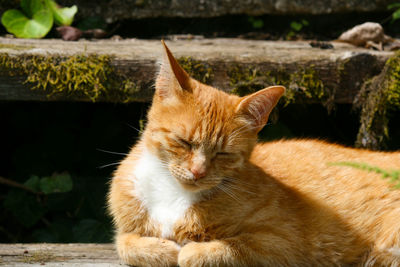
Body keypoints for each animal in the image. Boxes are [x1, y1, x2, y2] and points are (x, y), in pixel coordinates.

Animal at [108, 40, 400, 266]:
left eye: (223, 154)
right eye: (184, 142)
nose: (198, 172)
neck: (172, 193)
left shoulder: (287, 244)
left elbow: (227, 249)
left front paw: (188, 250)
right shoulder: (125, 230)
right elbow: (125, 244)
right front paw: (162, 249)